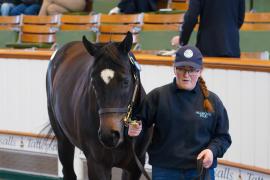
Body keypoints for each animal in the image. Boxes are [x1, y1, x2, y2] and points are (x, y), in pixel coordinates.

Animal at [45, 31, 153, 179]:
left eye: (126, 81)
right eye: (93, 82)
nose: (109, 135)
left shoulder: (135, 166)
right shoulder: (97, 164)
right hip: (63, 140)